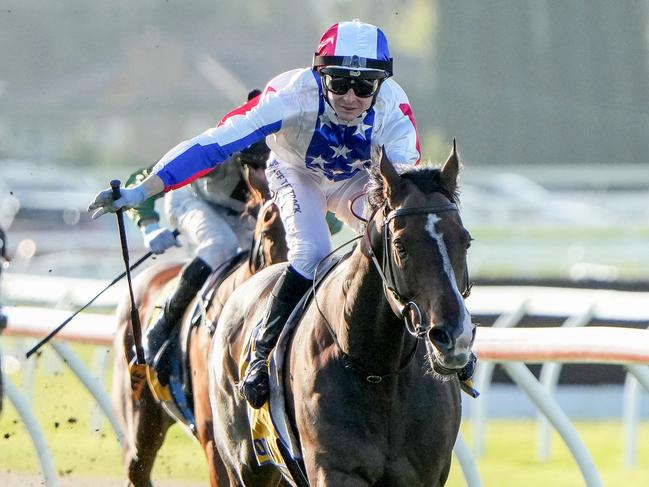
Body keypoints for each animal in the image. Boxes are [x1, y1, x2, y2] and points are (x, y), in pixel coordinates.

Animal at [210, 146, 474, 487]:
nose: (454, 337)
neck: (379, 371)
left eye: (465, 240)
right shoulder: (334, 470)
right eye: (400, 245)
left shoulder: (424, 475)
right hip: (244, 465)